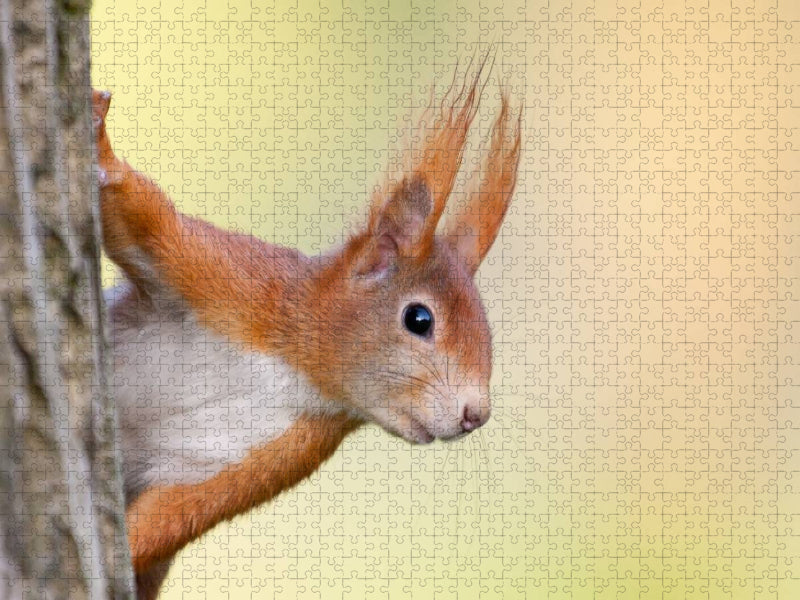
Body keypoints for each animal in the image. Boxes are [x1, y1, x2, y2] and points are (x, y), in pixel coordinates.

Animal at [91, 60, 521, 600]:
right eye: (419, 319)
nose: (475, 414)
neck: (295, 369)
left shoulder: (272, 455)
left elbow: (169, 519)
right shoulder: (229, 281)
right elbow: (143, 222)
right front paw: (100, 143)